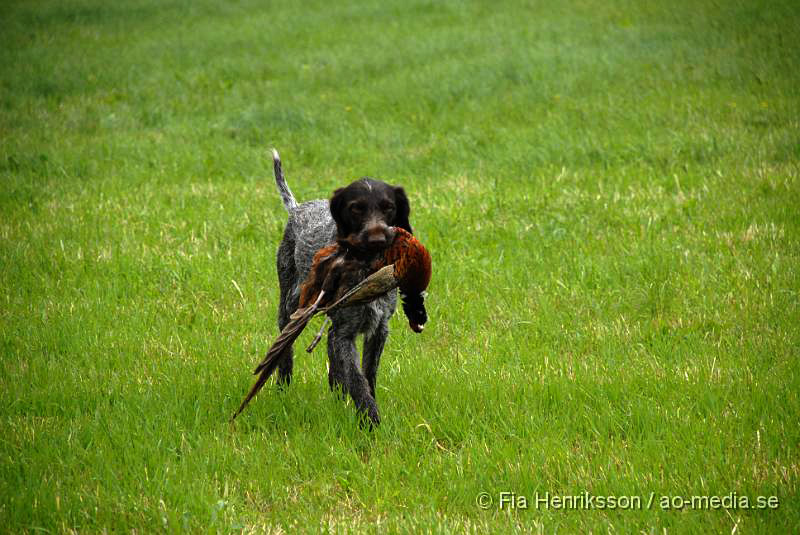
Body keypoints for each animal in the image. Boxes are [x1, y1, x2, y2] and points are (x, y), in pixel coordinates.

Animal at [272, 151, 416, 428]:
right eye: (356, 208)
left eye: (388, 207)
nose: (377, 239)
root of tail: (297, 209)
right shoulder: (345, 333)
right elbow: (357, 380)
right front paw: (370, 421)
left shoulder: (378, 329)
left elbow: (368, 375)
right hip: (289, 307)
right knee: (285, 351)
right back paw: (282, 389)